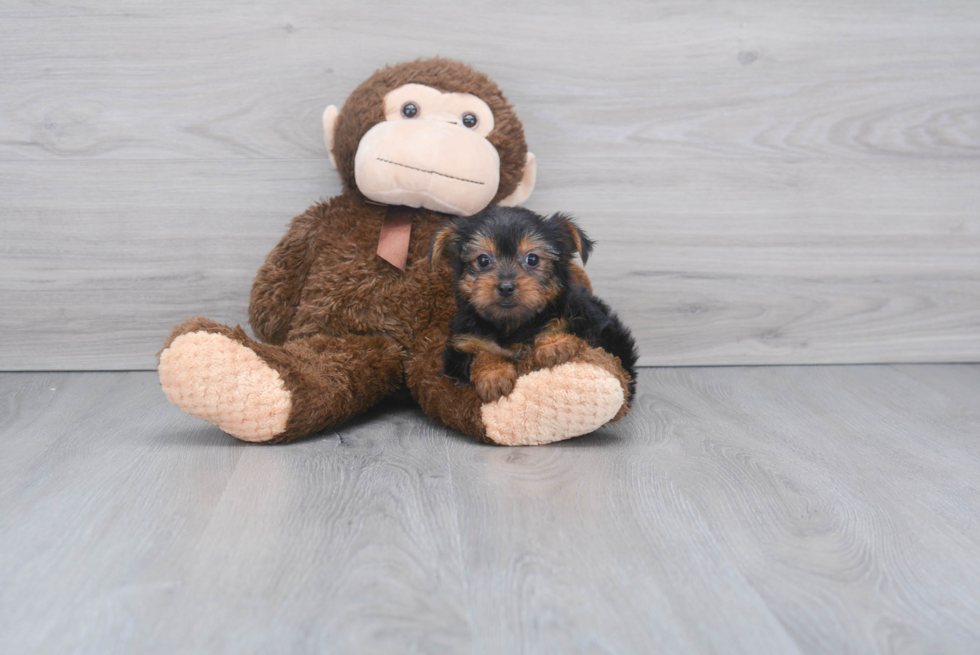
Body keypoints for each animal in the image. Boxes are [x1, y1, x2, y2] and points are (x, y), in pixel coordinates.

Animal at [432, 208, 640, 408]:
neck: (513, 325)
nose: (506, 287)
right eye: (483, 260)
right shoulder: (459, 350)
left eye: (532, 259)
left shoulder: (591, 323)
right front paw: (493, 373)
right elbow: (481, 353)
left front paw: (554, 343)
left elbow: (571, 328)